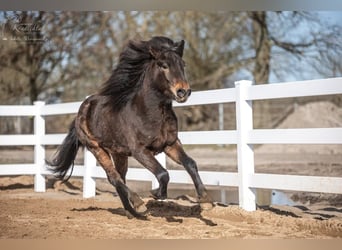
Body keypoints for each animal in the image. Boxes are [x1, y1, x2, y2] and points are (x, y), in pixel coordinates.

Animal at [46, 36, 212, 218]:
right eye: (164, 65)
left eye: (183, 64)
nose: (183, 92)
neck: (148, 112)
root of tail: (83, 108)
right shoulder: (139, 150)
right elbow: (162, 173)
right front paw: (156, 193)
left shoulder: (170, 144)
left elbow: (190, 163)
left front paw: (205, 200)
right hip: (96, 148)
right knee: (114, 178)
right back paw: (138, 204)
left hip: (118, 152)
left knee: (120, 177)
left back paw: (131, 211)